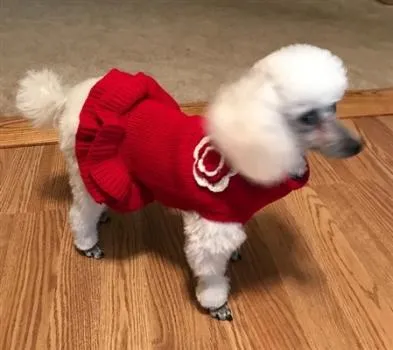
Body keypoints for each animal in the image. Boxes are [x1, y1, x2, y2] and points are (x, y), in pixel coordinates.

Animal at [15, 43, 362, 320]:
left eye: (334, 106)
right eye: (307, 117)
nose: (356, 146)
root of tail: (67, 98)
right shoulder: (211, 228)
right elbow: (210, 273)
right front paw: (214, 303)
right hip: (86, 165)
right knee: (79, 211)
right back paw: (87, 242)